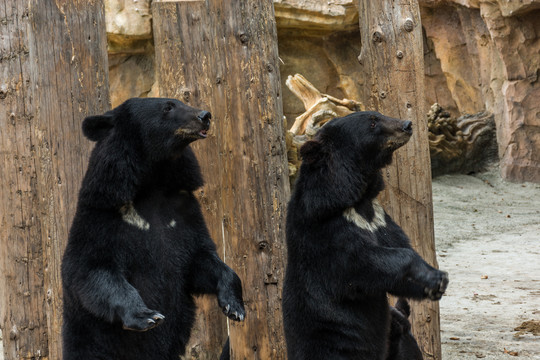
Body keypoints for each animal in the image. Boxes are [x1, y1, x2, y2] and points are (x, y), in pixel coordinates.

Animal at [61, 97, 245, 360]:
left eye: (181, 102)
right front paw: (148, 316)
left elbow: (200, 258)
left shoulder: (183, 213)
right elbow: (92, 269)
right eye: (167, 107)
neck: (154, 180)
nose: (205, 115)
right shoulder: (104, 215)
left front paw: (234, 307)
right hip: (89, 343)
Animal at [282, 111, 448, 358]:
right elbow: (364, 261)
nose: (407, 125)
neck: (357, 198)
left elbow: (397, 246)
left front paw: (432, 283)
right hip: (333, 341)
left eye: (378, 116)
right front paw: (433, 276)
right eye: (372, 122)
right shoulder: (326, 230)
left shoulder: (378, 218)